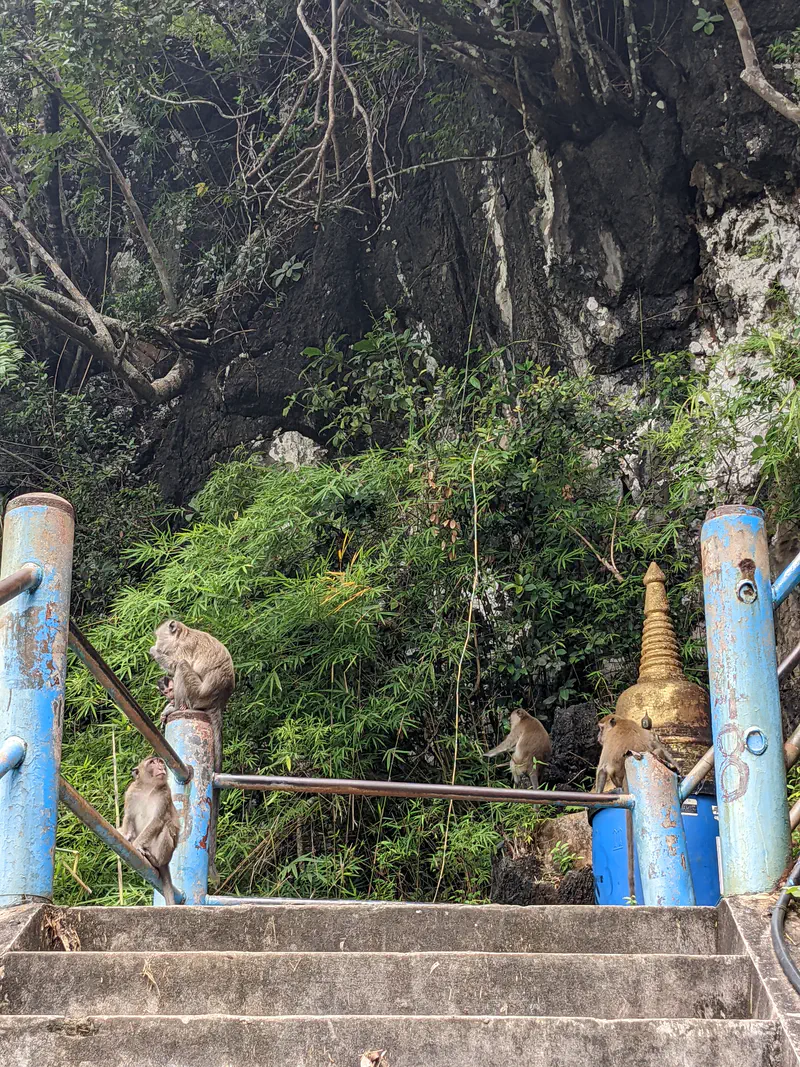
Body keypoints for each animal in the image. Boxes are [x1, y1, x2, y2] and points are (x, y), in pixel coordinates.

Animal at [121, 756, 180, 905]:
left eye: (160, 762)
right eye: (152, 762)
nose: (161, 767)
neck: (148, 788)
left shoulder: (165, 793)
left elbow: (157, 821)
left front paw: (136, 845)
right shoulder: (132, 792)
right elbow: (129, 816)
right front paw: (126, 836)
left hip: (165, 854)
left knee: (166, 828)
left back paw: (154, 860)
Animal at [149, 620, 234, 884]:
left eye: (158, 636)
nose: (156, 642)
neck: (185, 633)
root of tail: (218, 702)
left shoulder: (183, 648)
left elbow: (176, 662)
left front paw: (154, 652)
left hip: (198, 693)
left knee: (183, 668)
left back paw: (178, 706)